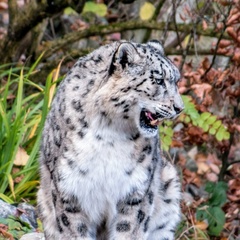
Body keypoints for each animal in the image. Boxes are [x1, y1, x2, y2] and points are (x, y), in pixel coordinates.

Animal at [38, 40, 184, 239]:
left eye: (176, 81)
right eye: (159, 80)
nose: (180, 108)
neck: (109, 134)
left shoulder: (136, 192)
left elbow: (129, 230)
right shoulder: (68, 191)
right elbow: (74, 231)